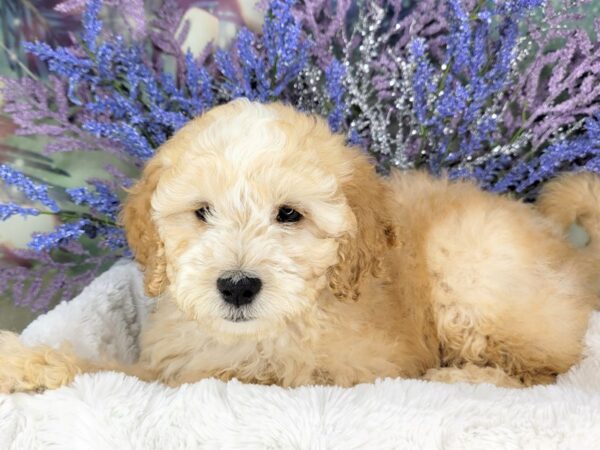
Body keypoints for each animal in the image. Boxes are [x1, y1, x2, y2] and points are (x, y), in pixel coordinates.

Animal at [1, 98, 600, 390]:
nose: (237, 286)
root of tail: (573, 253)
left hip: (471, 272)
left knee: (546, 368)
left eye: (289, 215)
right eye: (202, 213)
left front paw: (31, 365)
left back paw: (464, 376)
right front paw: (28, 362)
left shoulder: (331, 368)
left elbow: (143, 375)